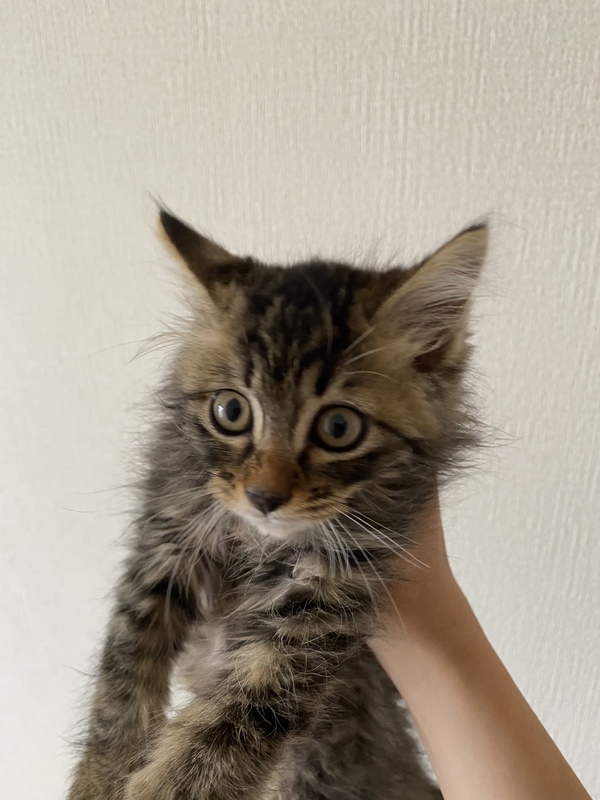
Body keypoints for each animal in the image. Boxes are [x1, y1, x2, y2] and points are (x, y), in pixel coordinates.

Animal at [68, 209, 487, 800]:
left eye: (339, 428)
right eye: (230, 411)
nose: (264, 496)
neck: (259, 540)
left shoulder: (330, 591)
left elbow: (240, 715)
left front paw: (167, 786)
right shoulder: (167, 530)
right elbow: (123, 674)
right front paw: (101, 777)